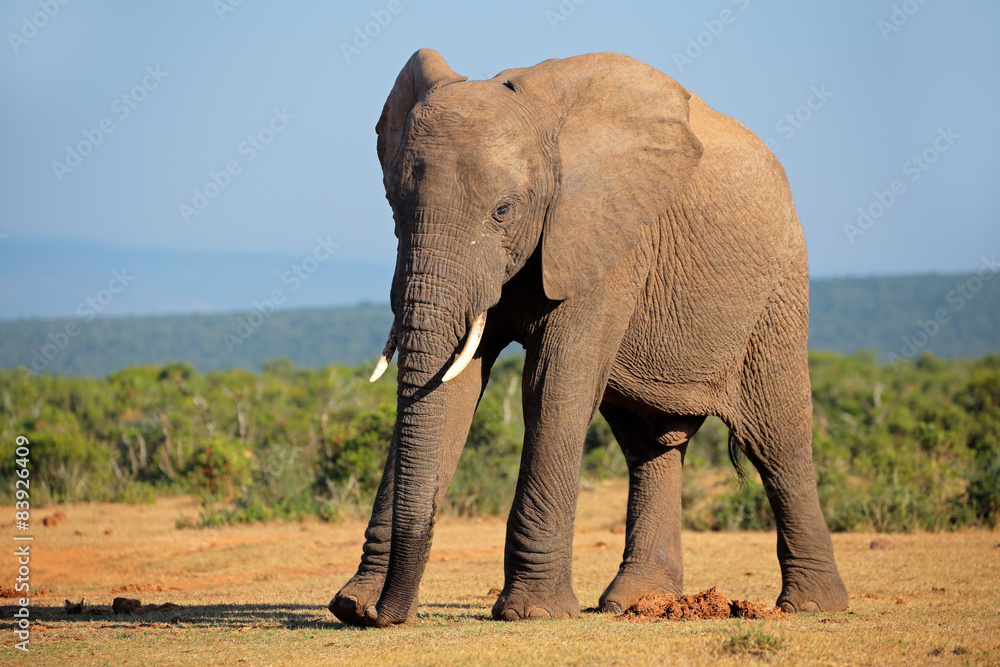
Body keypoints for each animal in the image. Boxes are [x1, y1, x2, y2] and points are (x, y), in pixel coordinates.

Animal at [329, 49, 849, 627]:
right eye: (393, 204)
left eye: (503, 211)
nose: (386, 615)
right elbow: (455, 384)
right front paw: (352, 605)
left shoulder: (605, 234)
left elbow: (551, 384)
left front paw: (532, 613)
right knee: (649, 443)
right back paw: (639, 603)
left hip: (777, 289)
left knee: (777, 437)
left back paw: (812, 605)